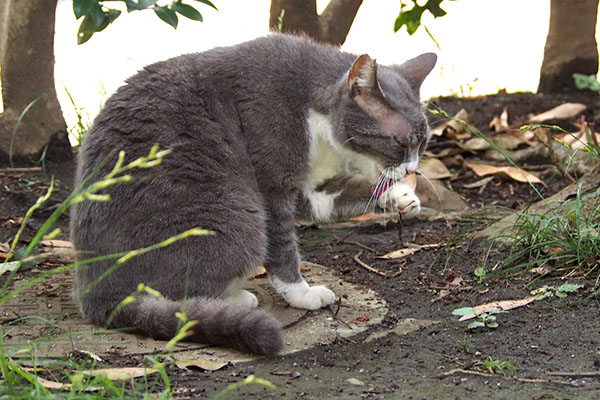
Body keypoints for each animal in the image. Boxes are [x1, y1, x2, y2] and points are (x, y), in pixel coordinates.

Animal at [70, 32, 436, 354]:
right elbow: (283, 246)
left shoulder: (308, 187)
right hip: (238, 217)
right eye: (400, 143)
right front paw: (302, 294)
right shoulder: (271, 185)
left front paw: (401, 197)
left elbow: (334, 197)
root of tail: (94, 290)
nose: (411, 170)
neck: (315, 116)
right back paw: (236, 300)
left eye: (423, 144)